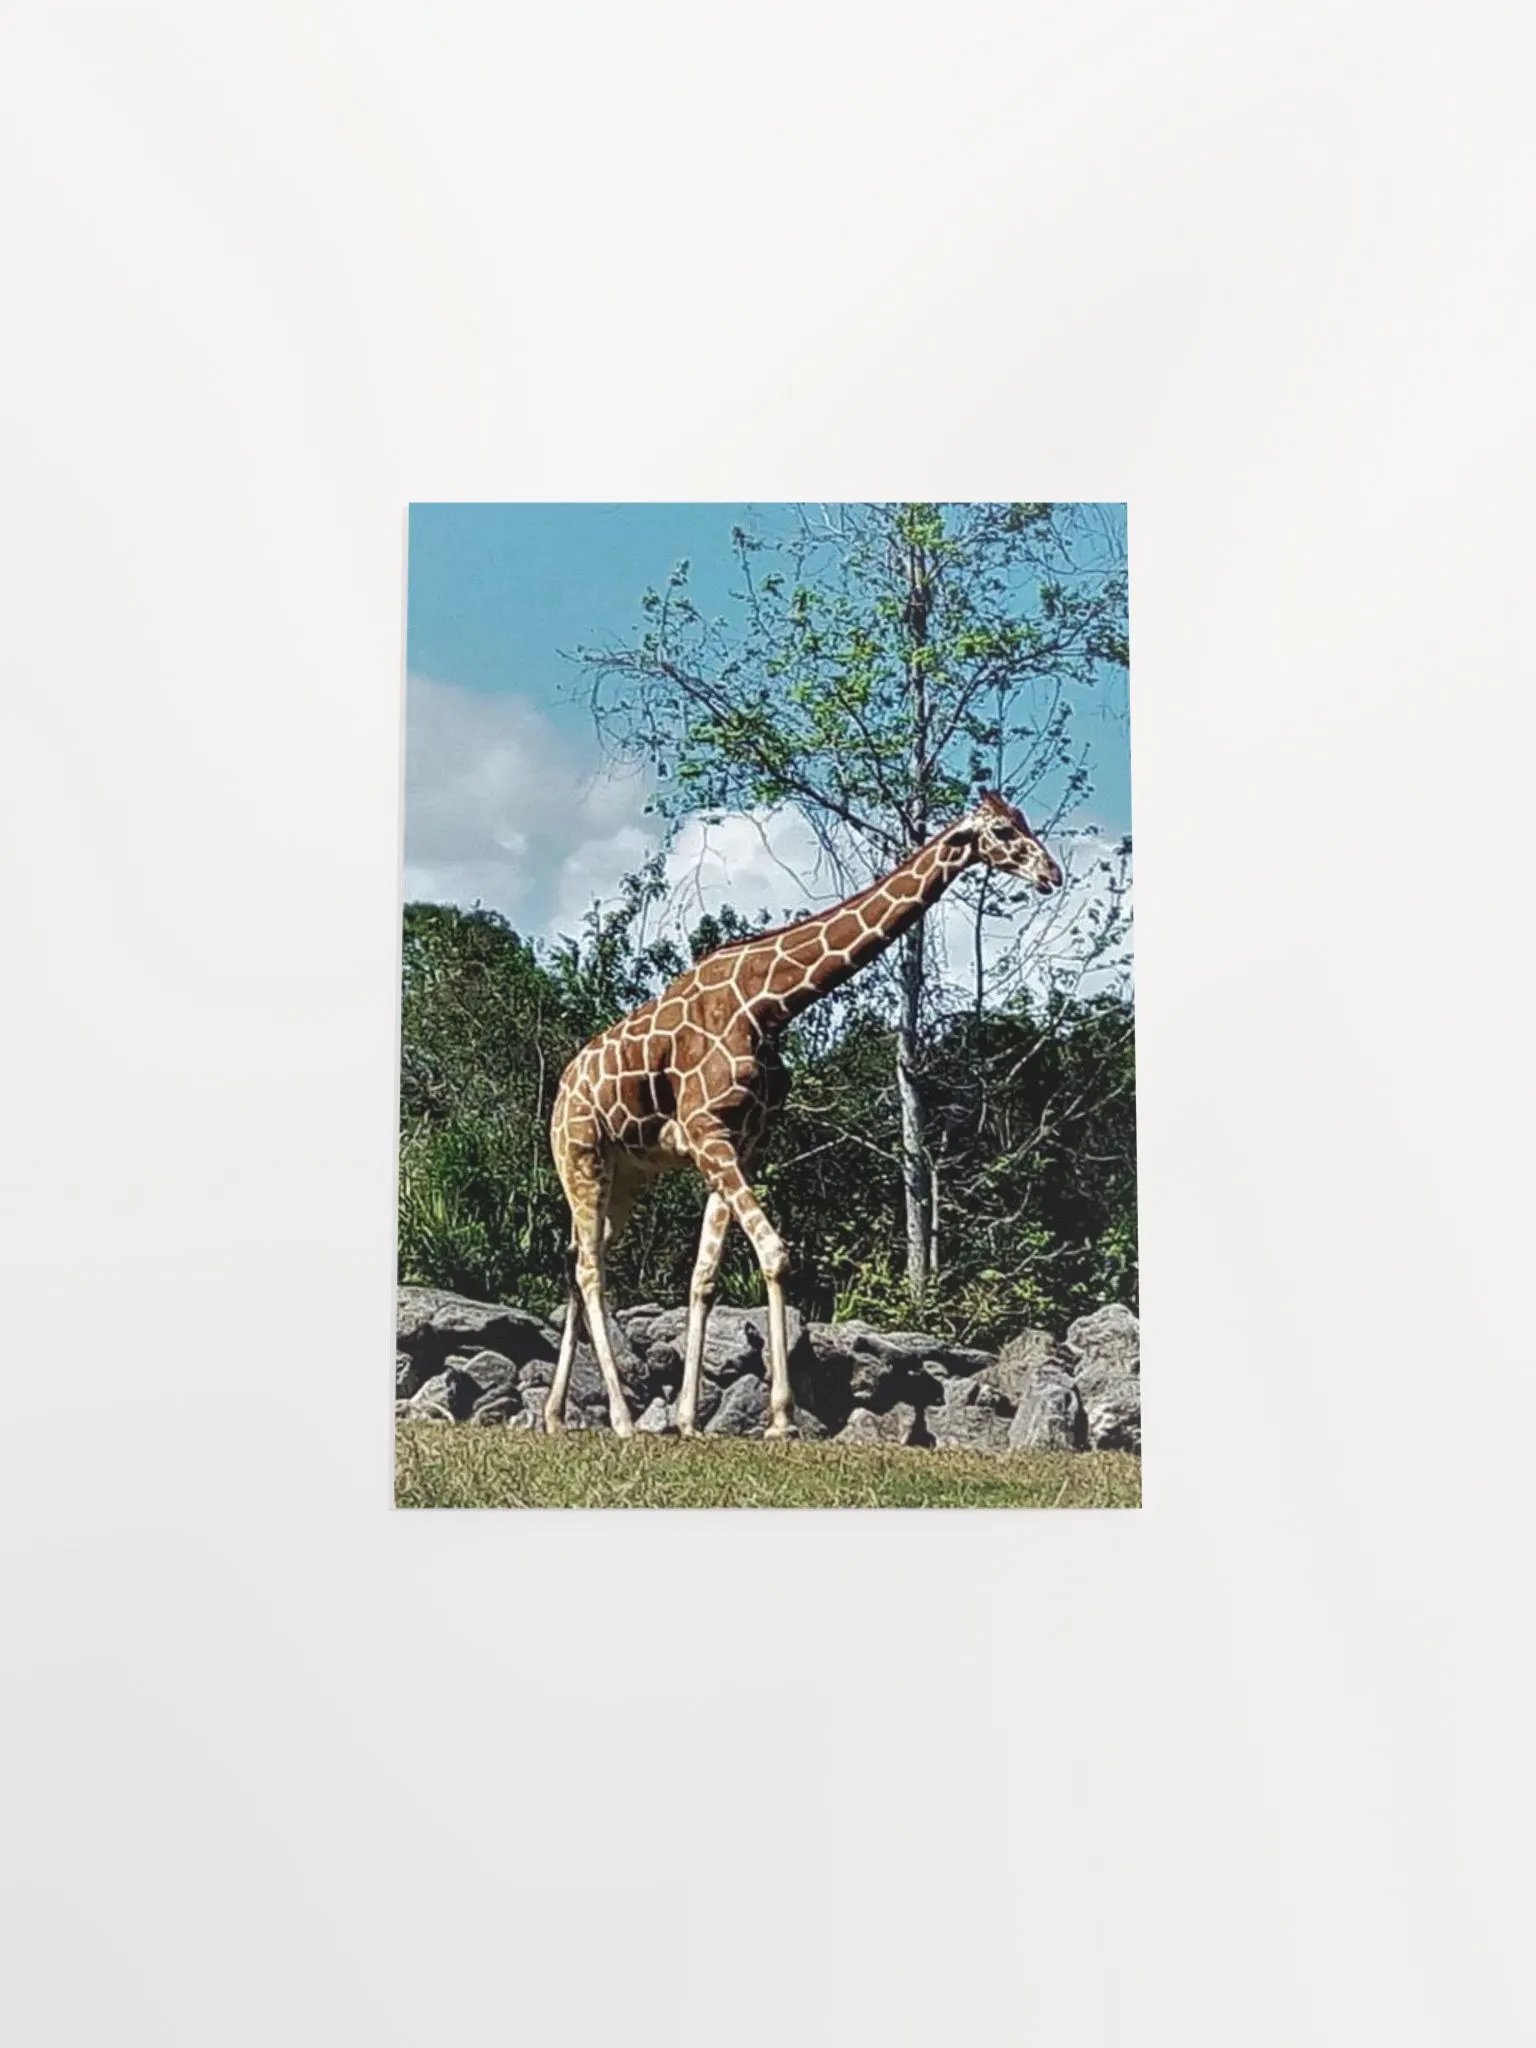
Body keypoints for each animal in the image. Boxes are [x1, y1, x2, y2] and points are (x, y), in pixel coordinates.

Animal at [544, 790, 1064, 1440]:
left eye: (1025, 823)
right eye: (1004, 831)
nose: (1052, 874)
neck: (768, 1004)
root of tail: (561, 1093)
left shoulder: (740, 1141)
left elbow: (704, 1277)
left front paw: (691, 1420)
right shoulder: (706, 1130)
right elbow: (775, 1252)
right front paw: (781, 1419)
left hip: (625, 1177)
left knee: (576, 1259)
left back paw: (555, 1416)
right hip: (580, 1156)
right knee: (591, 1269)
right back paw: (620, 1419)